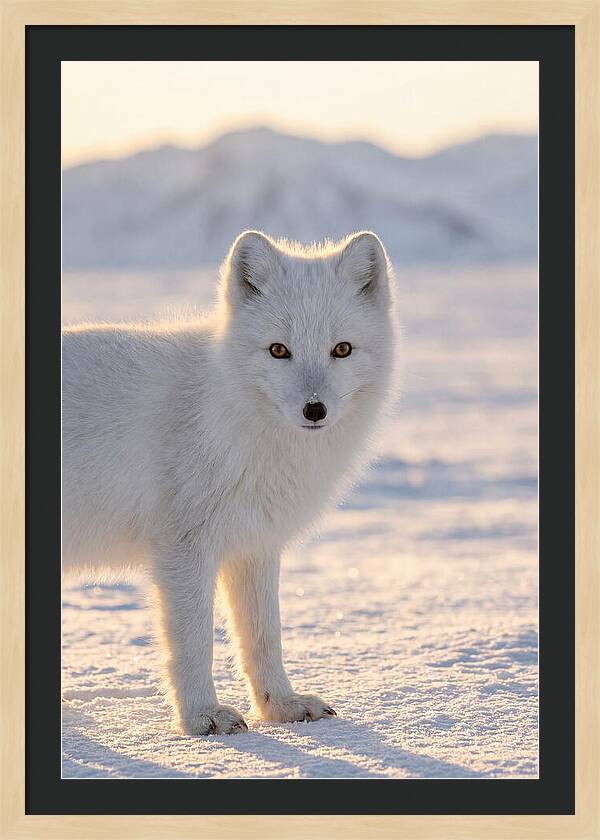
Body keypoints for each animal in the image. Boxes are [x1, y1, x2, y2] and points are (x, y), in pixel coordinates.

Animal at [62, 230, 396, 735]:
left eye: (342, 349)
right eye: (279, 350)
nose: (314, 409)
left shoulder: (254, 544)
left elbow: (263, 636)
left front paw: (281, 706)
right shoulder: (183, 548)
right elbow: (195, 642)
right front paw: (202, 717)